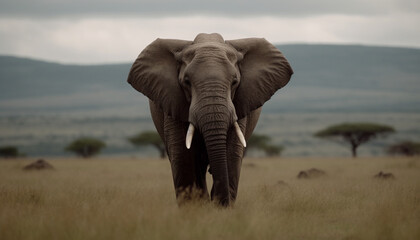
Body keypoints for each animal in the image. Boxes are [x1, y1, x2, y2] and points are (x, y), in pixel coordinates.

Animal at [127, 32, 292, 206]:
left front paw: (220, 208)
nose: (221, 202)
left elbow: (232, 153)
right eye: (186, 82)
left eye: (235, 82)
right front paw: (195, 208)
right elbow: (183, 155)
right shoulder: (172, 101)